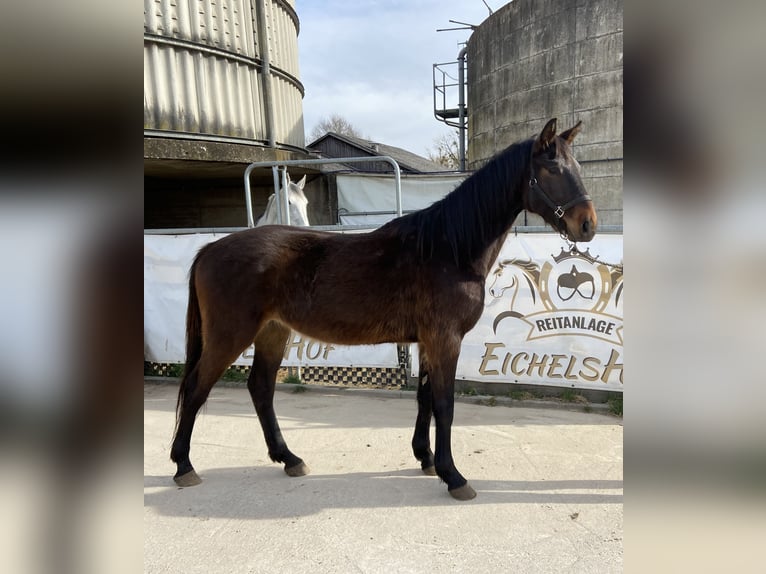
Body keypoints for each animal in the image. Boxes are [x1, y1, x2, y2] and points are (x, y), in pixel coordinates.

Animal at [171, 118, 597, 500]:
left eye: (577, 167)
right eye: (553, 168)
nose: (588, 225)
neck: (448, 248)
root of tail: (210, 248)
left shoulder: (427, 341)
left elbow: (425, 398)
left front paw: (426, 459)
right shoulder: (445, 339)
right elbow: (444, 404)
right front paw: (453, 476)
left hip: (273, 332)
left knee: (260, 388)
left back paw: (289, 458)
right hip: (230, 335)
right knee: (196, 388)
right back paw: (183, 466)